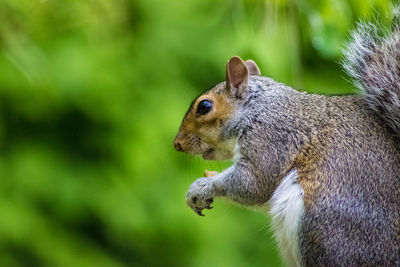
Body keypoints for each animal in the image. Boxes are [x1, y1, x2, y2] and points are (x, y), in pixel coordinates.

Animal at [174, 9, 400, 266]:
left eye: (204, 106)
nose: (177, 144)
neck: (257, 109)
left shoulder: (271, 138)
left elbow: (252, 183)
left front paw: (201, 187)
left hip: (323, 227)